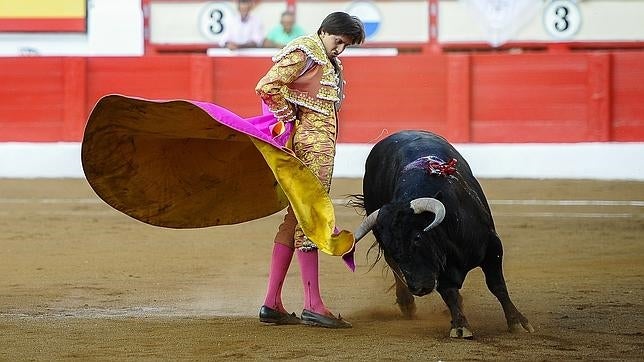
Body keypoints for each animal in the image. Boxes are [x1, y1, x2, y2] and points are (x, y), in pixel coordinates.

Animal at [352, 131, 532, 340]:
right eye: (389, 245)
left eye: (417, 237)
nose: (417, 287)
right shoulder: (438, 266)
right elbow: (448, 291)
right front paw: (460, 326)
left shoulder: (493, 246)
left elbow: (497, 285)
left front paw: (518, 322)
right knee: (395, 269)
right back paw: (407, 303)